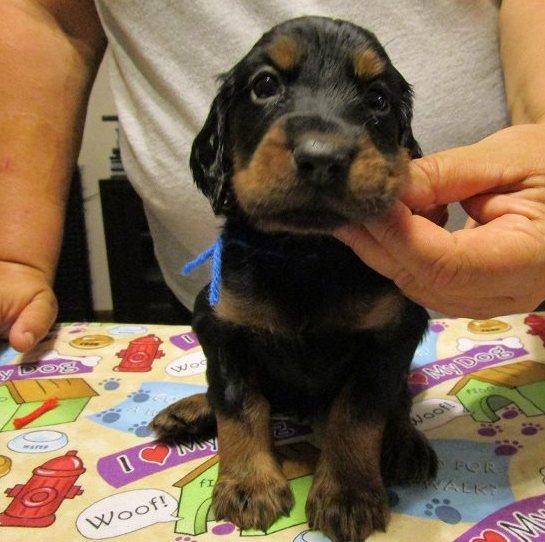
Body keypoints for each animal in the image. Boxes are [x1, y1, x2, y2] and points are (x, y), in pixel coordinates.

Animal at [152, 17, 434, 542]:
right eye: (265, 85)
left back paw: (404, 444)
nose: (322, 157)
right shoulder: (223, 325)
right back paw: (191, 410)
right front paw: (249, 487)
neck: (306, 253)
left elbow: (360, 411)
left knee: (399, 399)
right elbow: (239, 406)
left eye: (378, 99)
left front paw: (348, 494)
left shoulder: (392, 331)